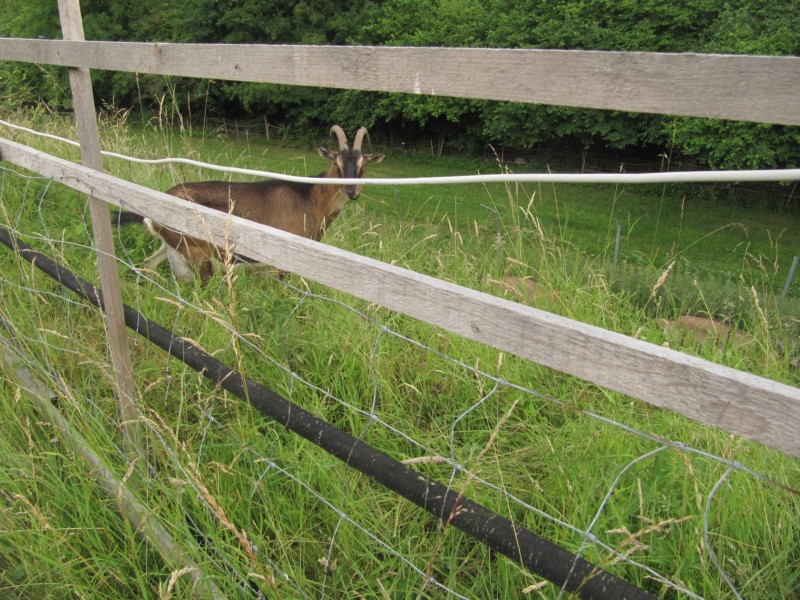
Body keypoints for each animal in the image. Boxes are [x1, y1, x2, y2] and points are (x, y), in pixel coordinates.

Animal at [115, 125, 384, 284]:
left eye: (363, 166)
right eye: (337, 165)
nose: (351, 190)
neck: (308, 197)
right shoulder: (284, 259)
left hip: (169, 246)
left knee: (148, 264)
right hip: (197, 254)